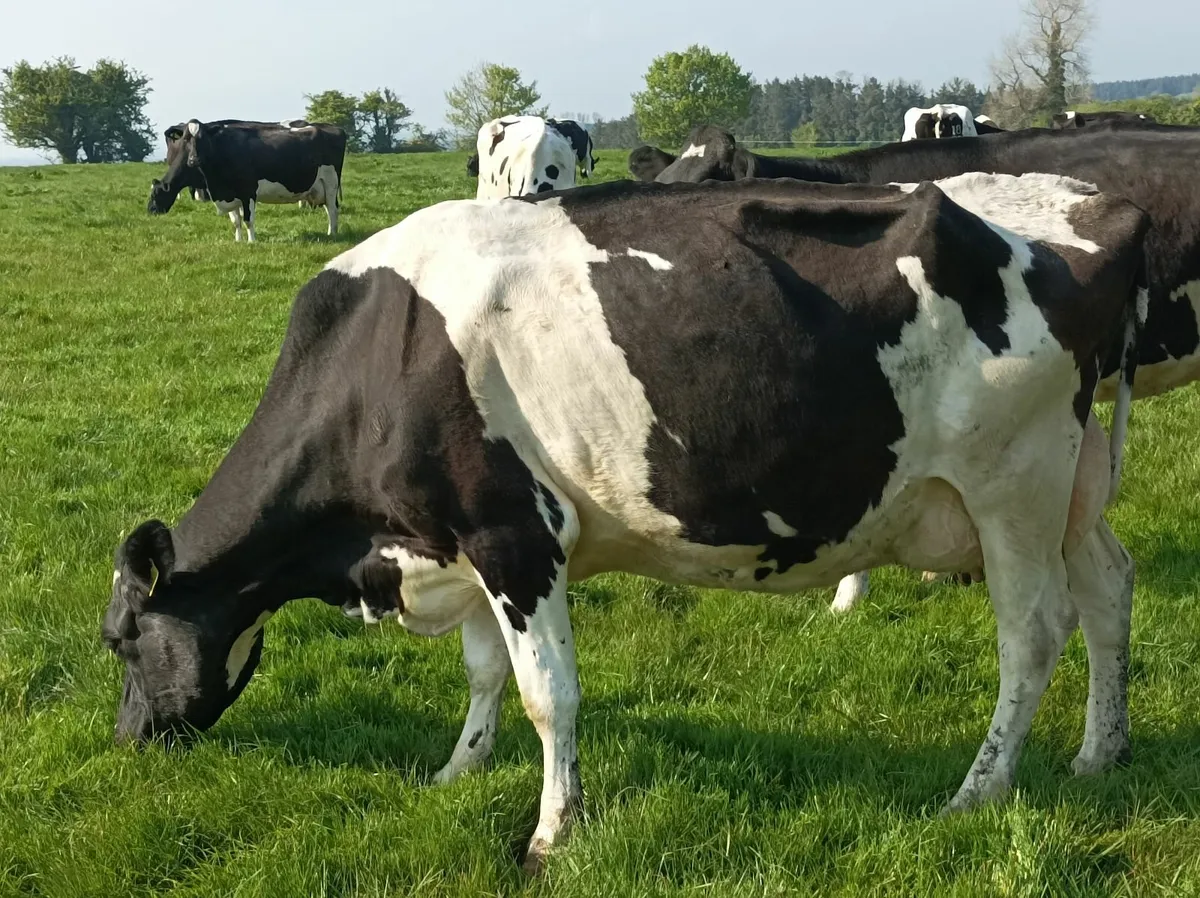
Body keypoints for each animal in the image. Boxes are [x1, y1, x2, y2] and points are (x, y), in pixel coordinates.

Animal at [103, 173, 1148, 874]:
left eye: (121, 640)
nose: (124, 745)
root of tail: (1091, 211)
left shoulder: (516, 536)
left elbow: (547, 696)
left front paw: (549, 835)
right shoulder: (460, 545)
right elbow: (485, 675)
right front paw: (457, 771)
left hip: (1012, 484)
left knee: (1032, 635)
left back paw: (977, 791)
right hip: (1073, 487)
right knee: (1108, 591)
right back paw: (1099, 754)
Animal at [148, 119, 346, 242]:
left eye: (202, 138)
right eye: (186, 140)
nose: (150, 211)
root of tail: (334, 127)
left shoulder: (247, 190)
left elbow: (248, 219)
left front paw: (252, 241)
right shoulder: (228, 193)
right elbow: (236, 220)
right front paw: (238, 240)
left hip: (331, 182)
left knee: (333, 210)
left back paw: (332, 234)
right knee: (329, 208)